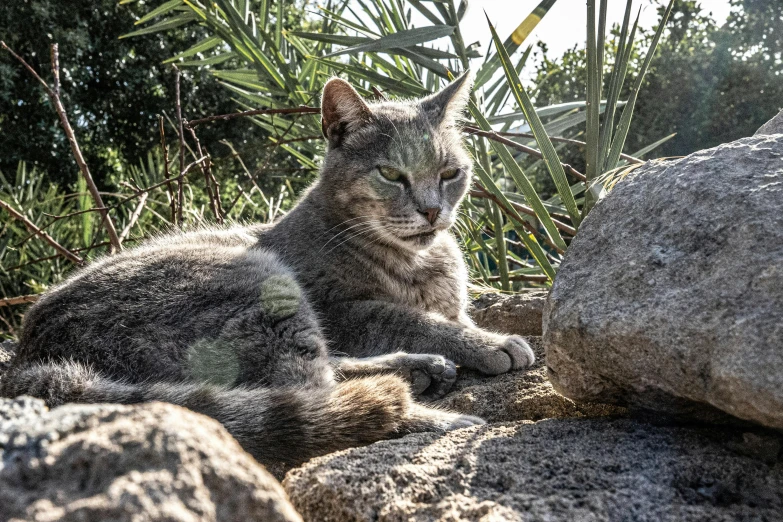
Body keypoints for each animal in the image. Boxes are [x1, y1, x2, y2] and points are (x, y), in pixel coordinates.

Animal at [0, 72, 536, 468]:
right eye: (390, 174)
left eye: (450, 173)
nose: (431, 211)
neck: (420, 260)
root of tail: (29, 358)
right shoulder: (342, 310)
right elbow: (411, 317)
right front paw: (487, 342)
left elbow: (443, 315)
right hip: (259, 284)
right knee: (314, 396)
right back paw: (434, 412)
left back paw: (419, 369)